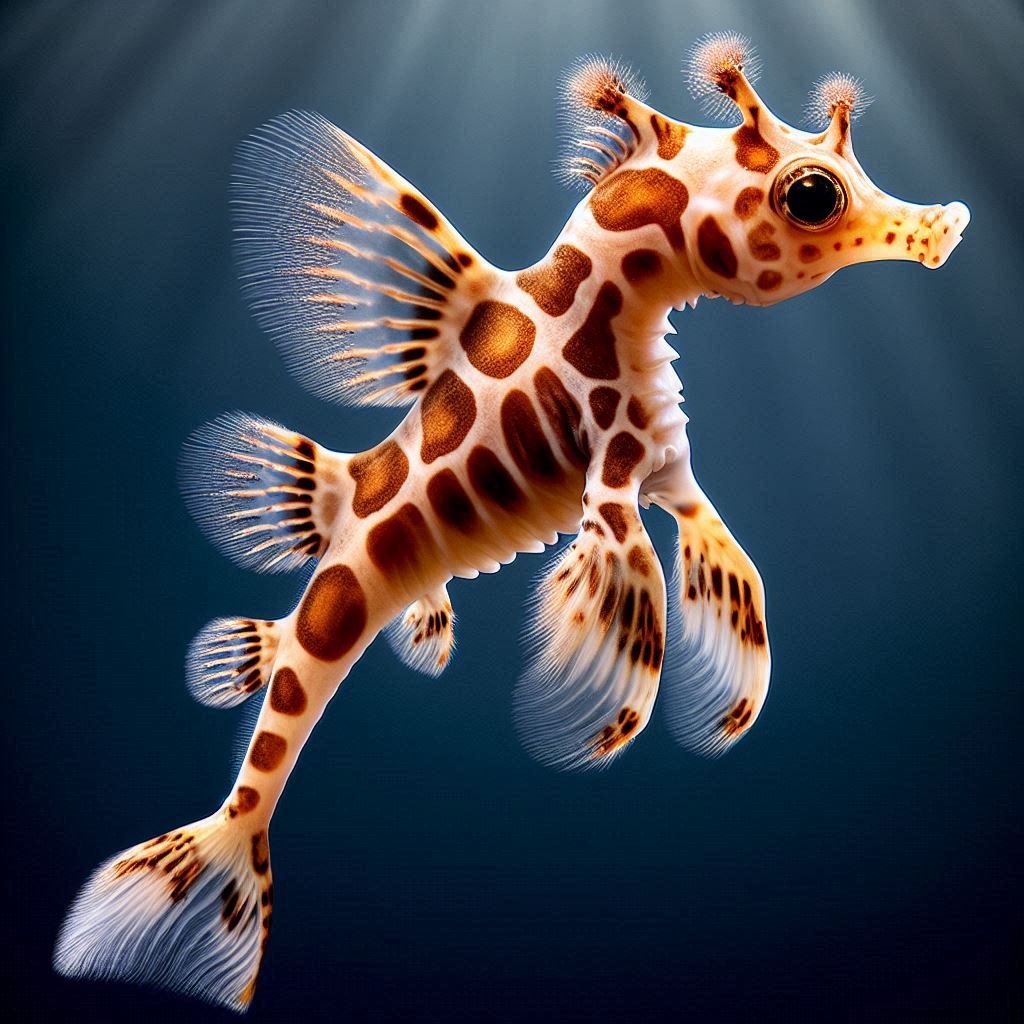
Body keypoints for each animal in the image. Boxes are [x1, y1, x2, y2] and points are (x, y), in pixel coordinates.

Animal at [54, 32, 969, 1012]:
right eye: (811, 194)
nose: (946, 223)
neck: (608, 294)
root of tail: (228, 832)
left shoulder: (668, 467)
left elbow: (732, 578)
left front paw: (724, 702)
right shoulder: (613, 478)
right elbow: (632, 602)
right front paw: (590, 723)